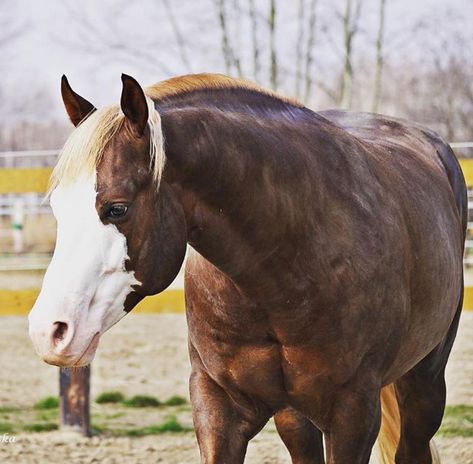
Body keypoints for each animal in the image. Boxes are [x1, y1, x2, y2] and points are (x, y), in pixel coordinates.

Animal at [28, 72, 464, 464]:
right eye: (57, 208)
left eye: (116, 208)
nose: (50, 332)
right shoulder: (218, 406)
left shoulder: (353, 415)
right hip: (294, 416)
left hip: (424, 385)